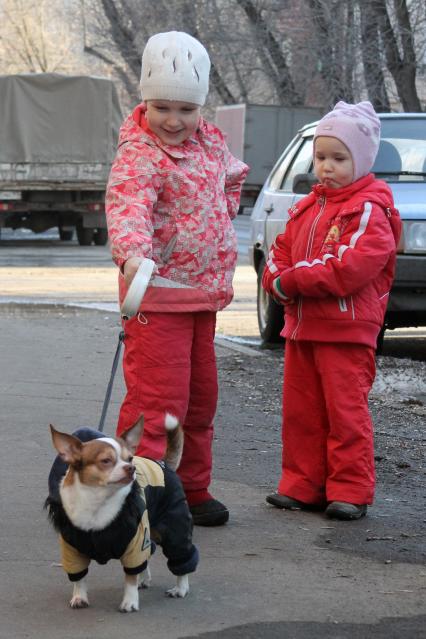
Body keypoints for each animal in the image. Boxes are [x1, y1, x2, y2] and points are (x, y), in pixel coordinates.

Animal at [45, 418, 199, 612]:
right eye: (105, 460)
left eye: (130, 458)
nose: (131, 468)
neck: (98, 500)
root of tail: (163, 463)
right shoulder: (72, 550)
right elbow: (79, 577)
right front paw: (79, 597)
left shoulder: (135, 544)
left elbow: (130, 578)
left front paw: (130, 601)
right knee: (149, 553)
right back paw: (144, 579)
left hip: (173, 530)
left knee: (181, 557)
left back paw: (180, 588)